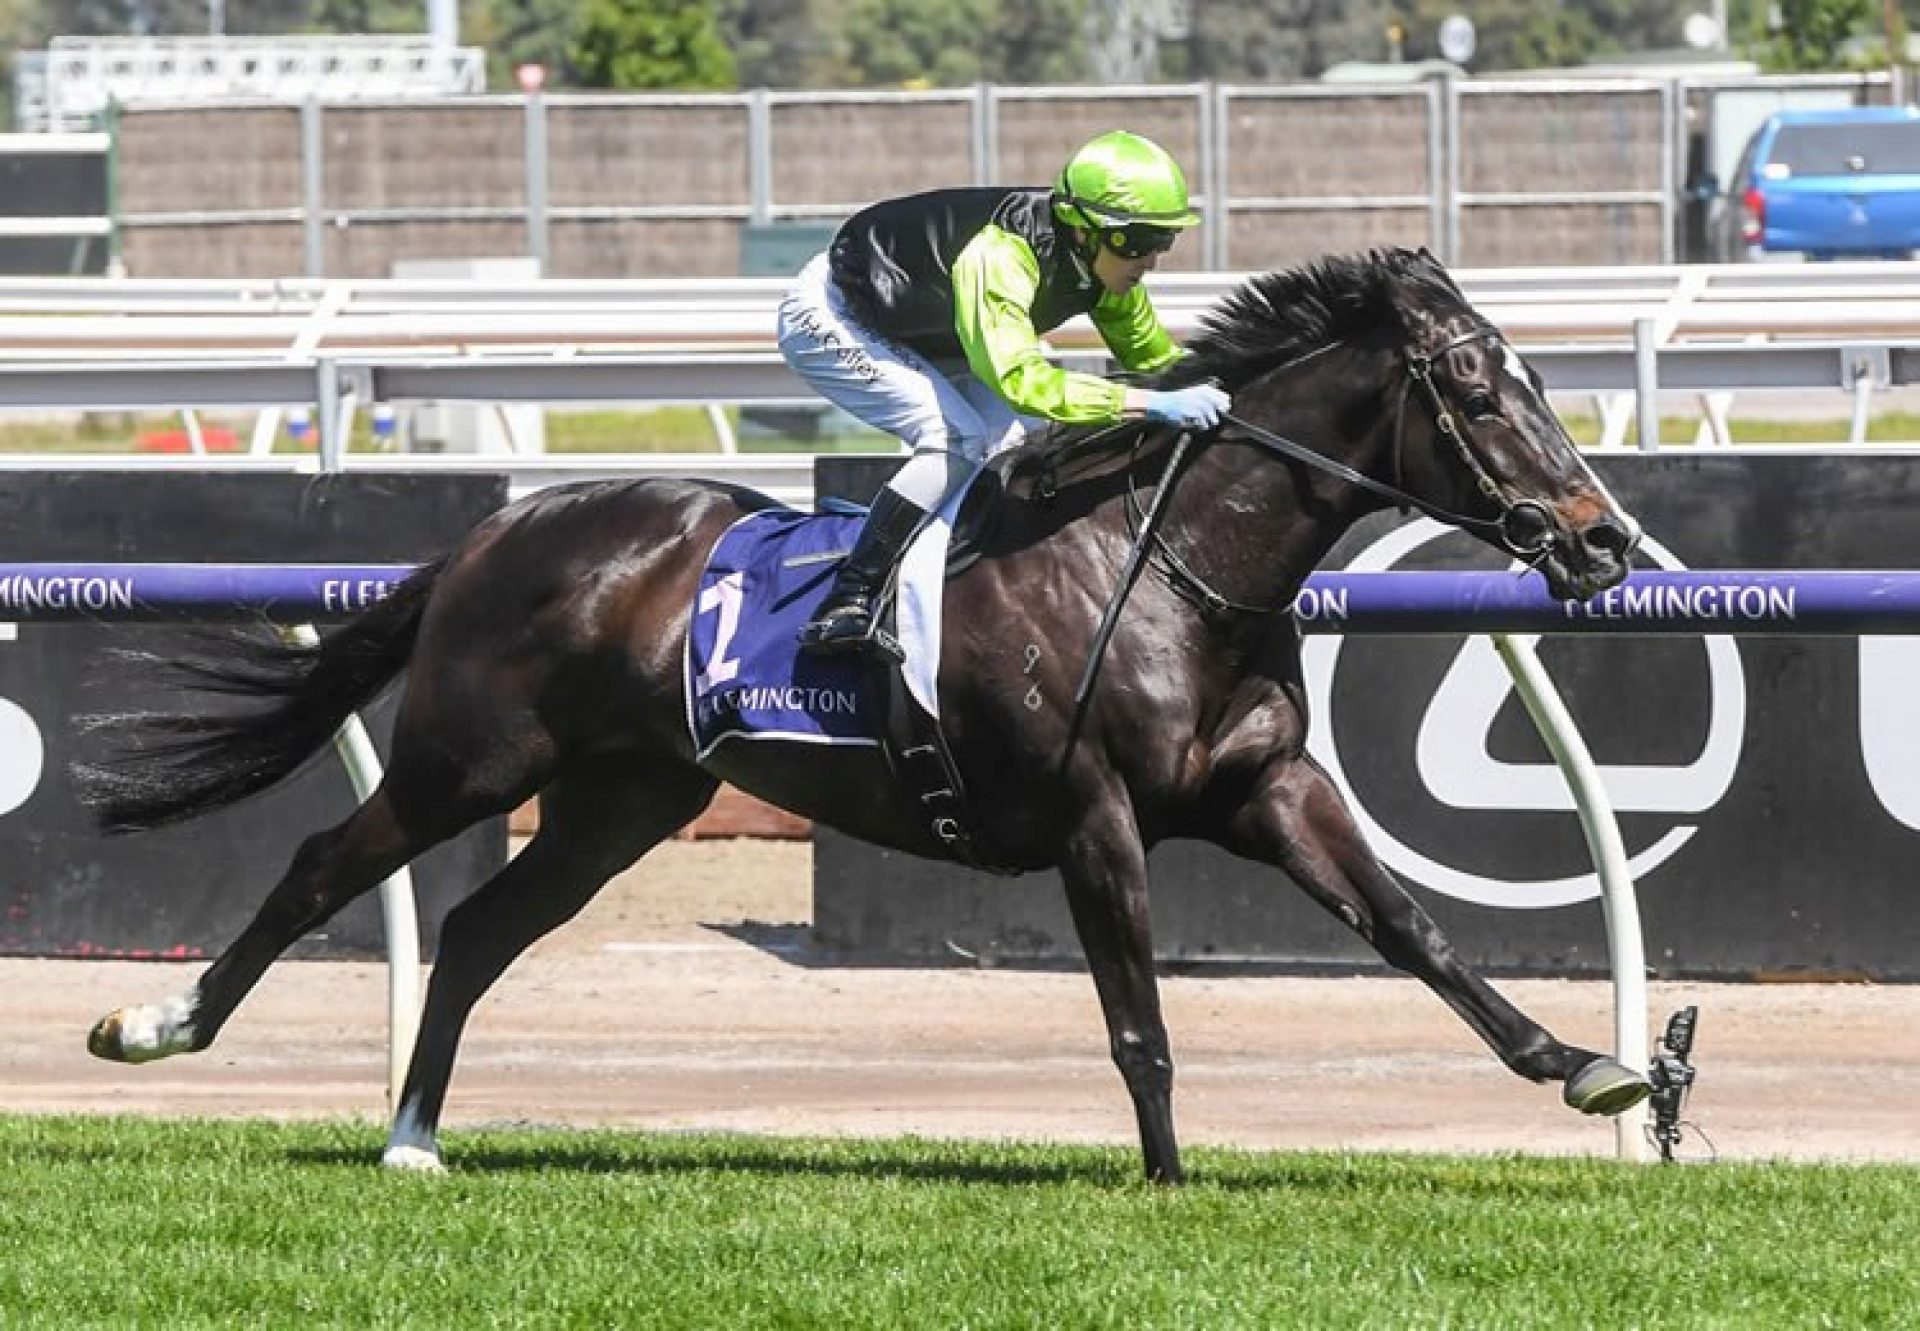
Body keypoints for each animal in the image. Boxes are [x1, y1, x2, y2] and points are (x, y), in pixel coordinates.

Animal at [82, 249, 1651, 1183]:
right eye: (1475, 391)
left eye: (1535, 379)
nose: (1603, 539)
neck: (1160, 566)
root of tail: (497, 528)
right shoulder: (1094, 817)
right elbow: (1137, 1017)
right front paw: (1167, 1178)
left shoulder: (1269, 789)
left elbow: (1415, 930)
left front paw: (1589, 1069)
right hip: (468, 757)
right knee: (322, 870)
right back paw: (158, 1027)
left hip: (618, 801)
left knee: (473, 929)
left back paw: (415, 1135)